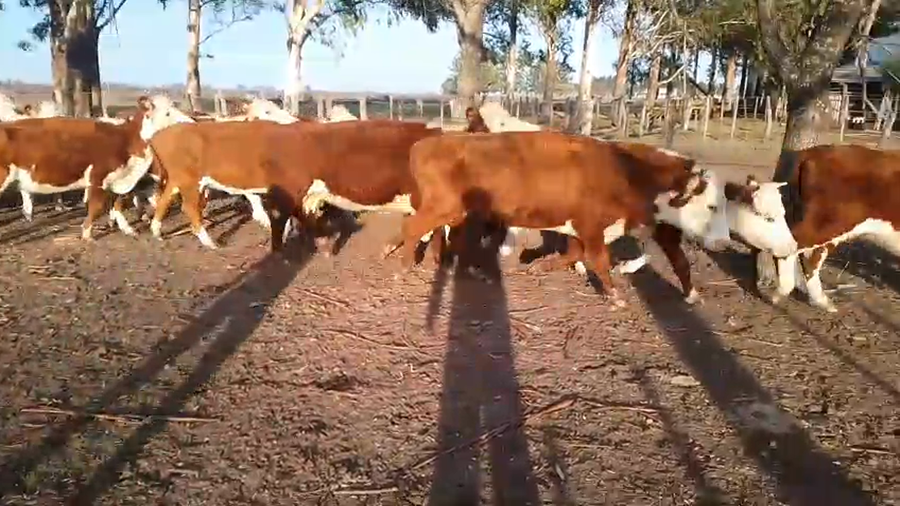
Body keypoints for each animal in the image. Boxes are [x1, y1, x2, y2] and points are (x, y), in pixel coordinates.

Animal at [0, 95, 191, 240]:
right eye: (167, 113)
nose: (190, 122)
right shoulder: (97, 178)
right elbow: (96, 207)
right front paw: (87, 234)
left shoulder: (116, 179)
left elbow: (117, 205)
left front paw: (127, 229)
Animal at [389, 131, 733, 306]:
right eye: (712, 206)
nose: (724, 242)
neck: (629, 172)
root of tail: (424, 143)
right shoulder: (591, 226)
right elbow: (598, 258)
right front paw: (614, 294)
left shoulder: (586, 228)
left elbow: (575, 253)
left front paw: (540, 266)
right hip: (444, 207)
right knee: (412, 226)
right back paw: (404, 267)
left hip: (456, 211)